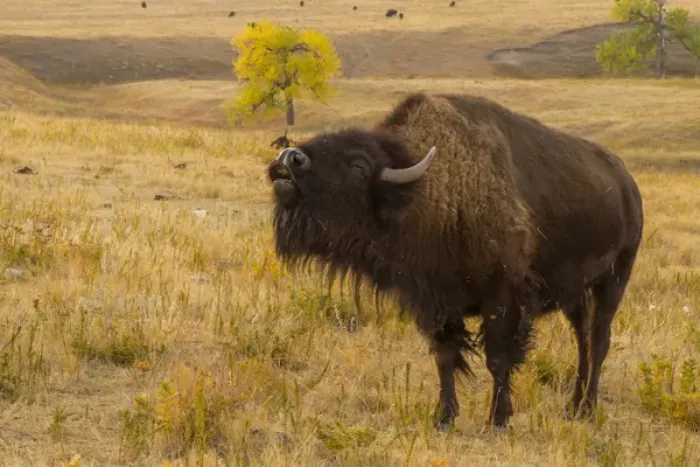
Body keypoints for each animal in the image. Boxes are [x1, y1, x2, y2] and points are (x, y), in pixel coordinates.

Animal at [266, 92, 644, 430]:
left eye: (358, 166)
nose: (290, 159)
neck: (430, 190)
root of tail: (627, 184)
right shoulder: (437, 303)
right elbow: (444, 359)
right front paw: (443, 418)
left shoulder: (503, 298)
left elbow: (498, 359)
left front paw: (498, 420)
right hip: (575, 294)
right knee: (583, 339)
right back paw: (573, 406)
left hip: (614, 280)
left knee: (599, 340)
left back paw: (588, 410)